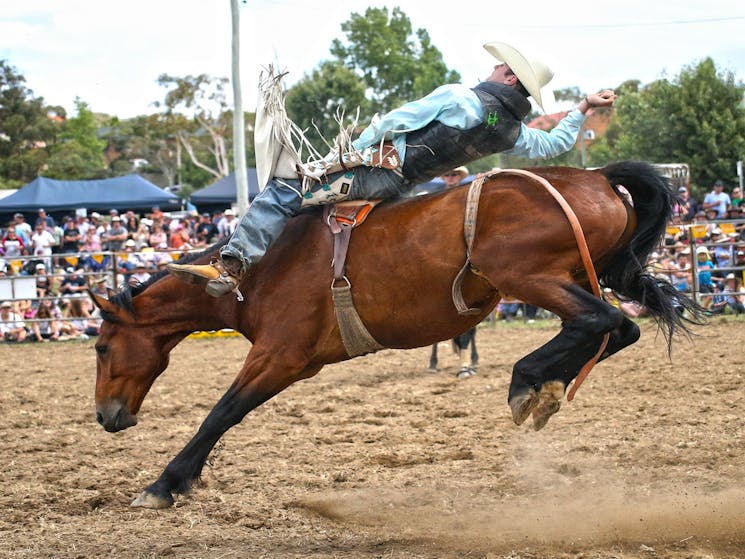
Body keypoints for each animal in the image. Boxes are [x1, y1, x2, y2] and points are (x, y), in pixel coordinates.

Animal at [90, 160, 700, 510]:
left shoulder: (279, 356)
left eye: (100, 346)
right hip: (578, 276)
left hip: (532, 277)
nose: (105, 415)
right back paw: (545, 387)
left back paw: (526, 380)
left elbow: (222, 412)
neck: (256, 271)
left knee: (602, 322)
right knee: (620, 328)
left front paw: (164, 485)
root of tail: (597, 178)